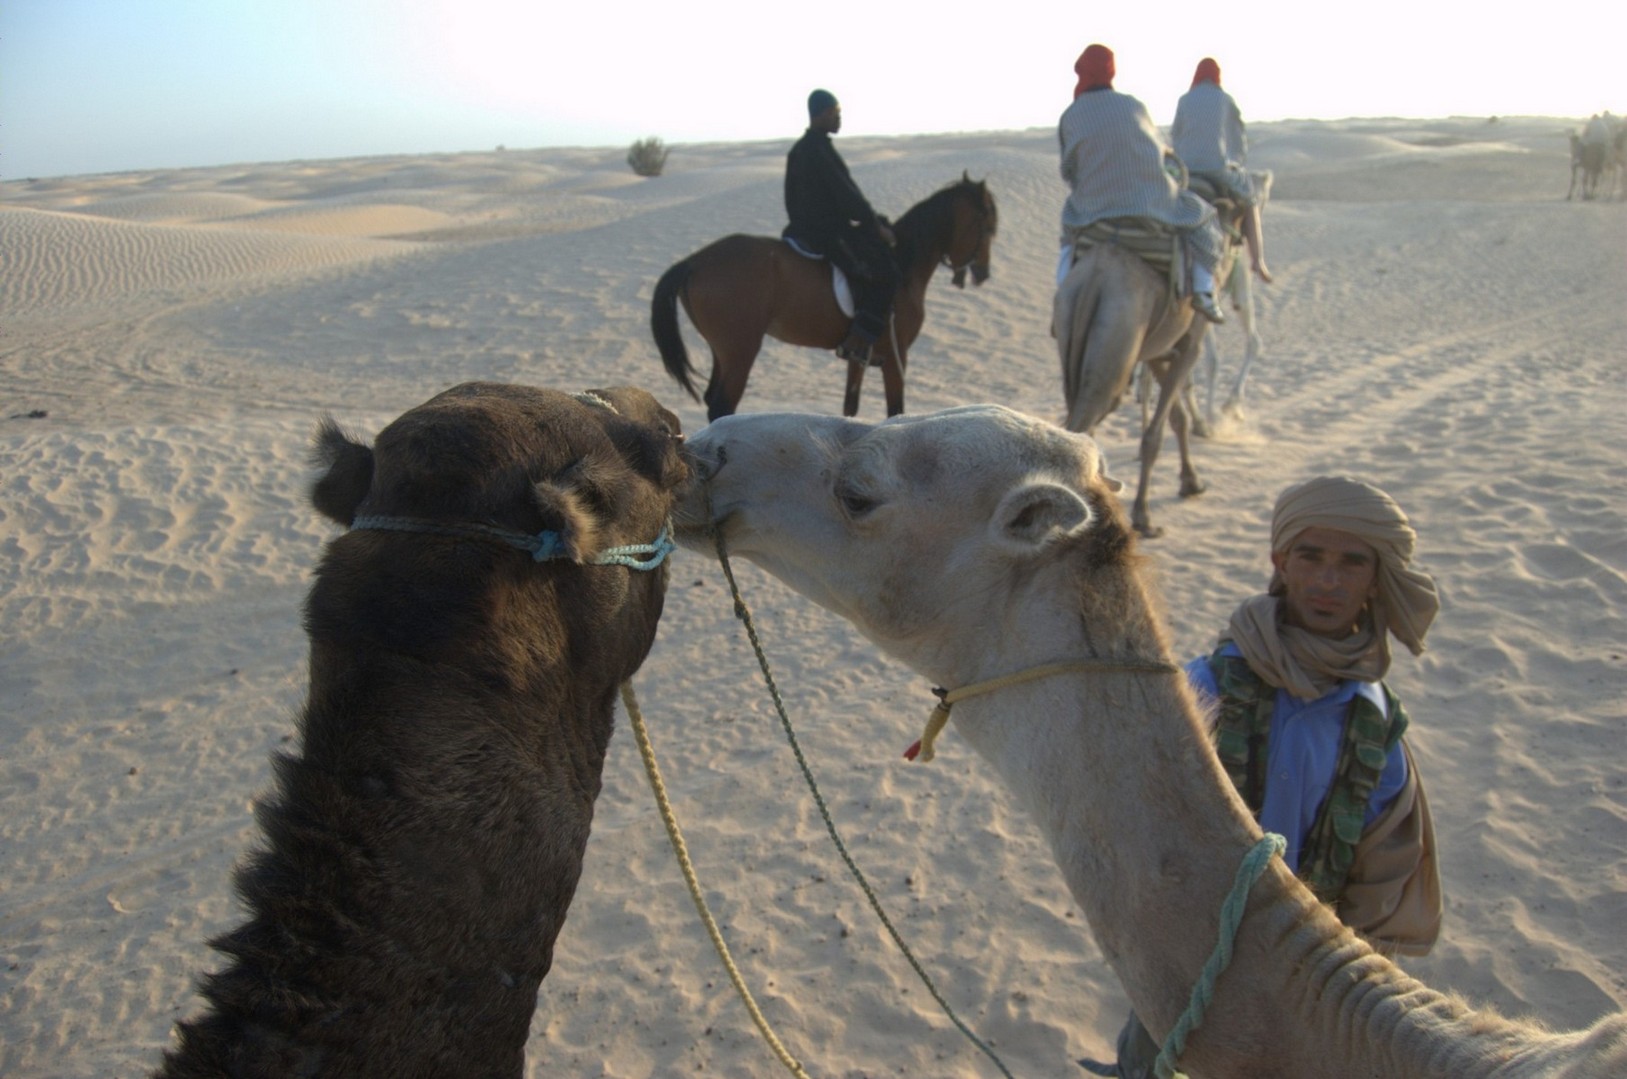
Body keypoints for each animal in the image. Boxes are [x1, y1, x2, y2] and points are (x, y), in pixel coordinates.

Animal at [647, 174, 989, 419]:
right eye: (985, 224)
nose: (982, 272)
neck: (903, 263)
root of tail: (694, 261)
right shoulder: (896, 356)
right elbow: (896, 411)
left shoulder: (862, 356)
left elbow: (850, 407)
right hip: (741, 350)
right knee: (722, 406)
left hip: (723, 351)